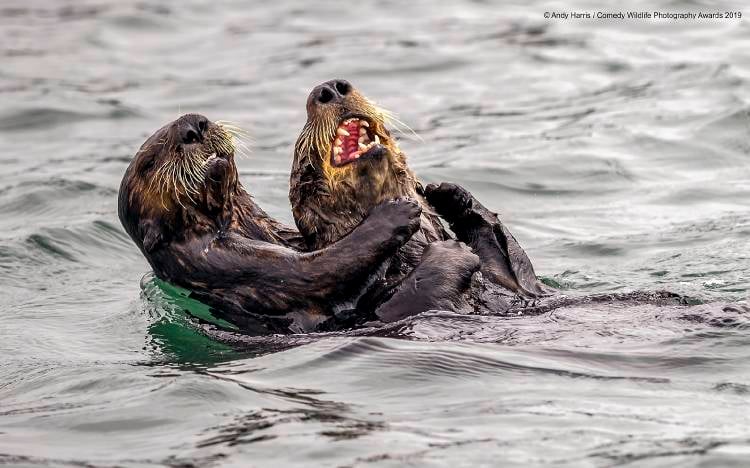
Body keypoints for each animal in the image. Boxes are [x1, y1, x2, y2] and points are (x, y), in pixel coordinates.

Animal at [119, 113, 478, 334]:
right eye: (150, 162)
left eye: (200, 119)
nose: (195, 125)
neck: (236, 221)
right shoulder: (224, 260)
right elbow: (319, 268)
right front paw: (396, 213)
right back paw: (451, 254)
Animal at [290, 80, 550, 320]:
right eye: (306, 172)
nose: (329, 88)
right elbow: (410, 298)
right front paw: (449, 251)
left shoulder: (520, 284)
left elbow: (519, 266)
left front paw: (449, 194)